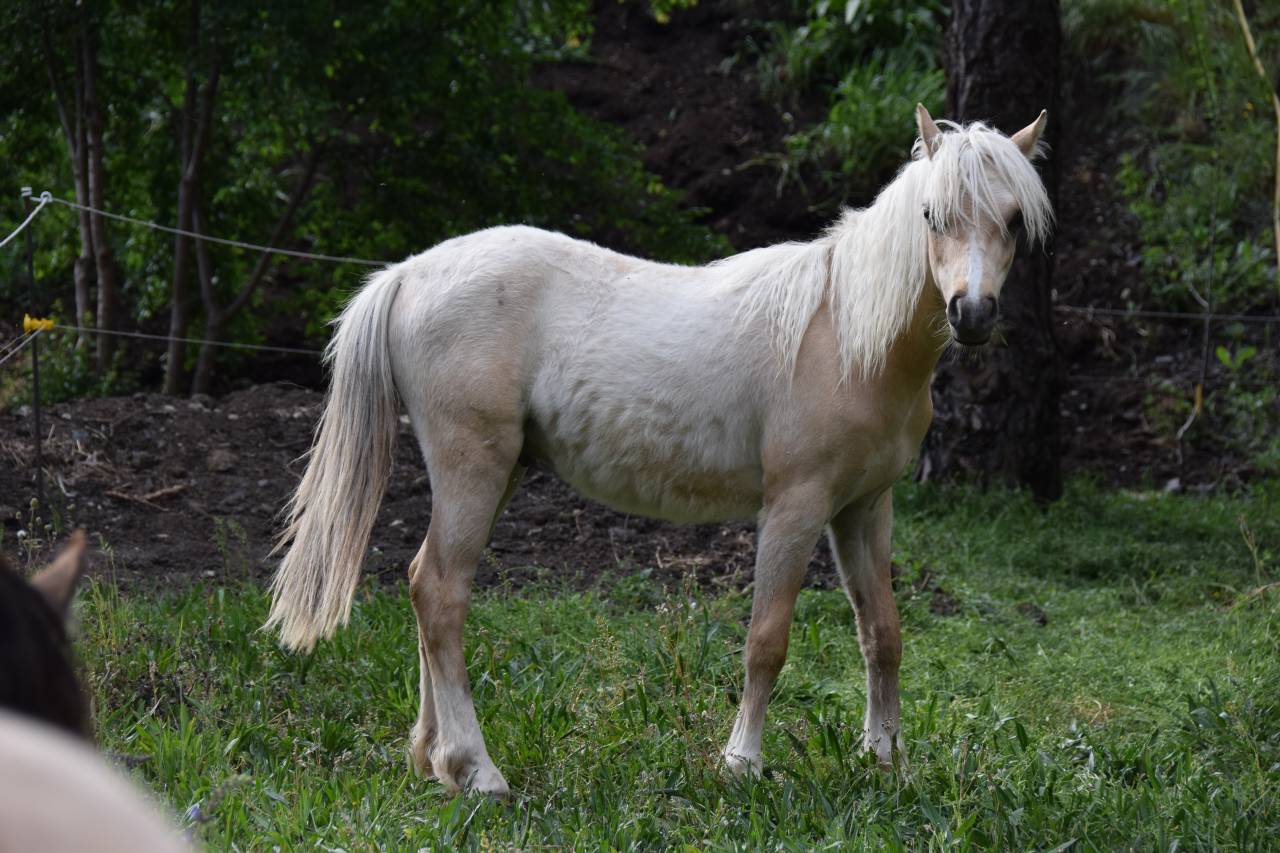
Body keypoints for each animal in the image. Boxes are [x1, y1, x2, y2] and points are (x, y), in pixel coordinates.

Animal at [267, 104, 1053, 798]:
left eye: (1013, 219)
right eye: (932, 215)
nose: (972, 313)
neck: (845, 332)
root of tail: (408, 273)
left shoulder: (864, 507)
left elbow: (882, 632)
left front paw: (886, 761)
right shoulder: (794, 507)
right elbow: (767, 639)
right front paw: (741, 764)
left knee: (422, 586)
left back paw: (434, 760)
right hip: (473, 470)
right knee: (440, 592)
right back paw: (478, 770)